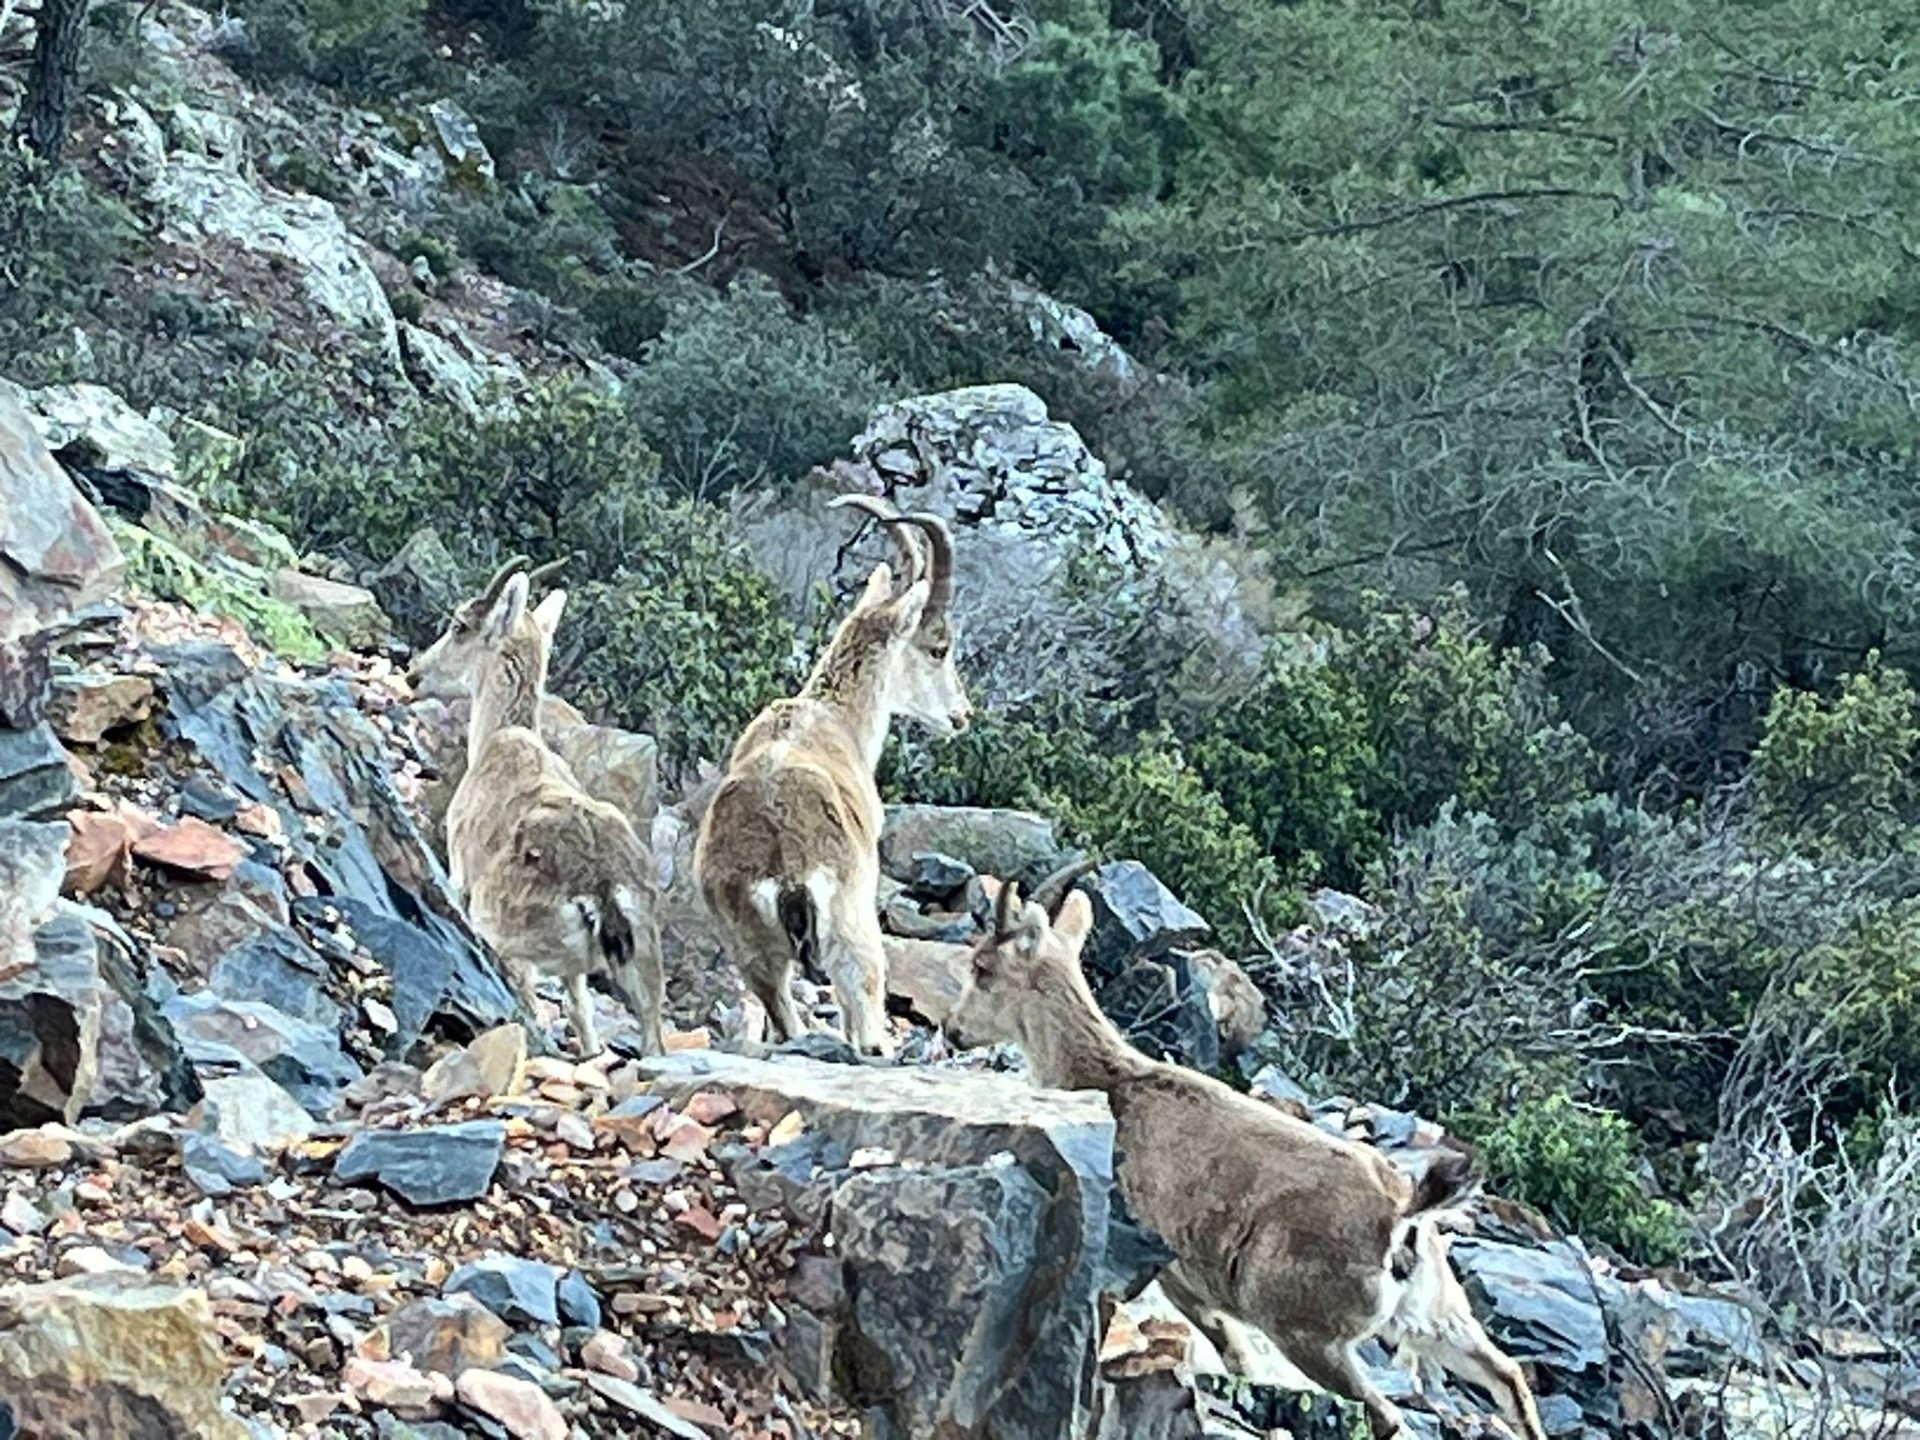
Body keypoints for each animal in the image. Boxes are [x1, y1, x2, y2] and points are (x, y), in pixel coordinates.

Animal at [440, 565, 665, 1058]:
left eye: (460, 626)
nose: (413, 674)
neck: (498, 739)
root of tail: (603, 889)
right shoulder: (575, 972)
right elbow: (582, 1013)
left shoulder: (460, 881)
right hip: (642, 968)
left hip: (512, 943)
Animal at [694, 495, 971, 1055]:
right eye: (939, 647)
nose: (962, 715)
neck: (831, 718)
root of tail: (786, 868)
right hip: (852, 936)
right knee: (864, 1020)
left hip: (752, 951)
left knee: (782, 1017)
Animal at [946, 873, 1547, 1440]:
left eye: (982, 967)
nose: (953, 1030)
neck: (1112, 1082)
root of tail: (1404, 1216)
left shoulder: (1174, 1274)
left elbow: (1227, 1349)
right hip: (1438, 1319)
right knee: (1507, 1377)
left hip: (1306, 1331)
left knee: (1386, 1415)